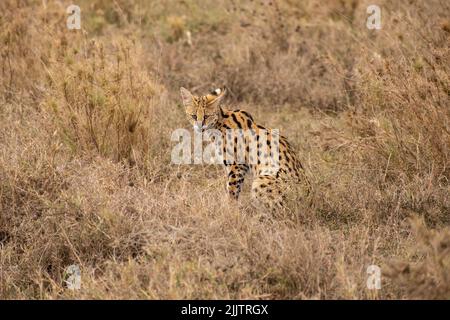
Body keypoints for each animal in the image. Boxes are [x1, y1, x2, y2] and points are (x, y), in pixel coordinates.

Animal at [179, 86, 310, 210]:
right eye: (193, 116)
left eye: (207, 116)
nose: (199, 126)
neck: (218, 124)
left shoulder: (237, 164)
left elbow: (232, 189)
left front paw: (230, 209)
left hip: (260, 181)